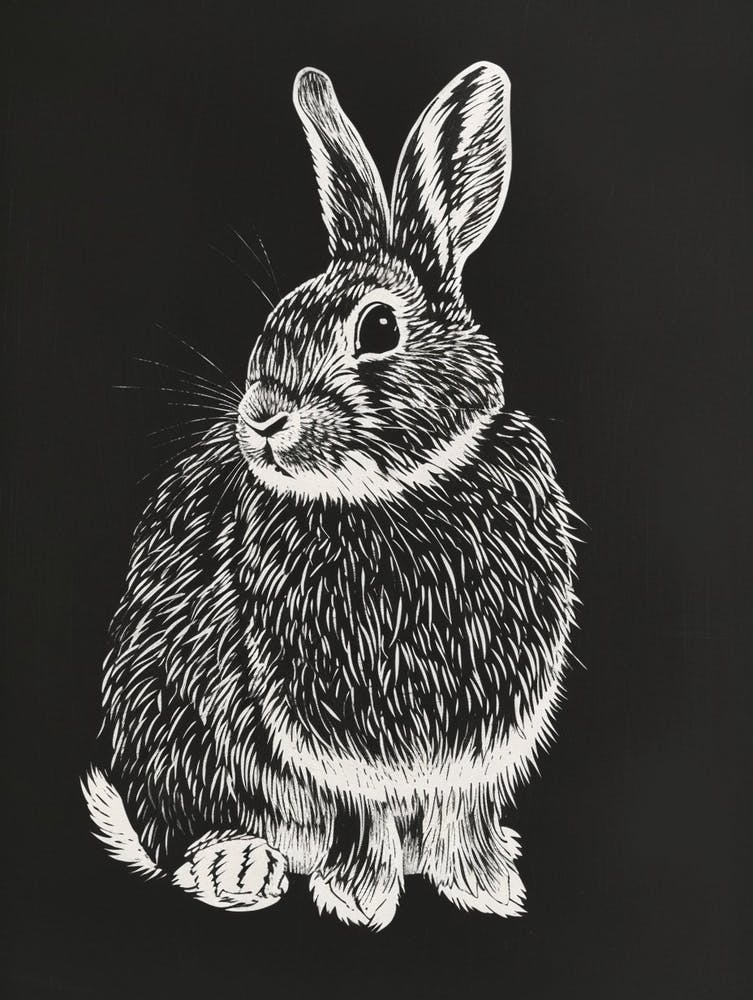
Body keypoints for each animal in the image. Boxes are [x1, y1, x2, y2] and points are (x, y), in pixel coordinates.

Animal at [83, 61, 577, 930]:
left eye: (378, 327)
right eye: (274, 321)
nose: (260, 417)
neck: (394, 490)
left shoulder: (477, 750)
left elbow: (462, 811)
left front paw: (486, 890)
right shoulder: (330, 744)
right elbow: (362, 814)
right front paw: (358, 902)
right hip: (169, 730)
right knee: (188, 829)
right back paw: (238, 868)